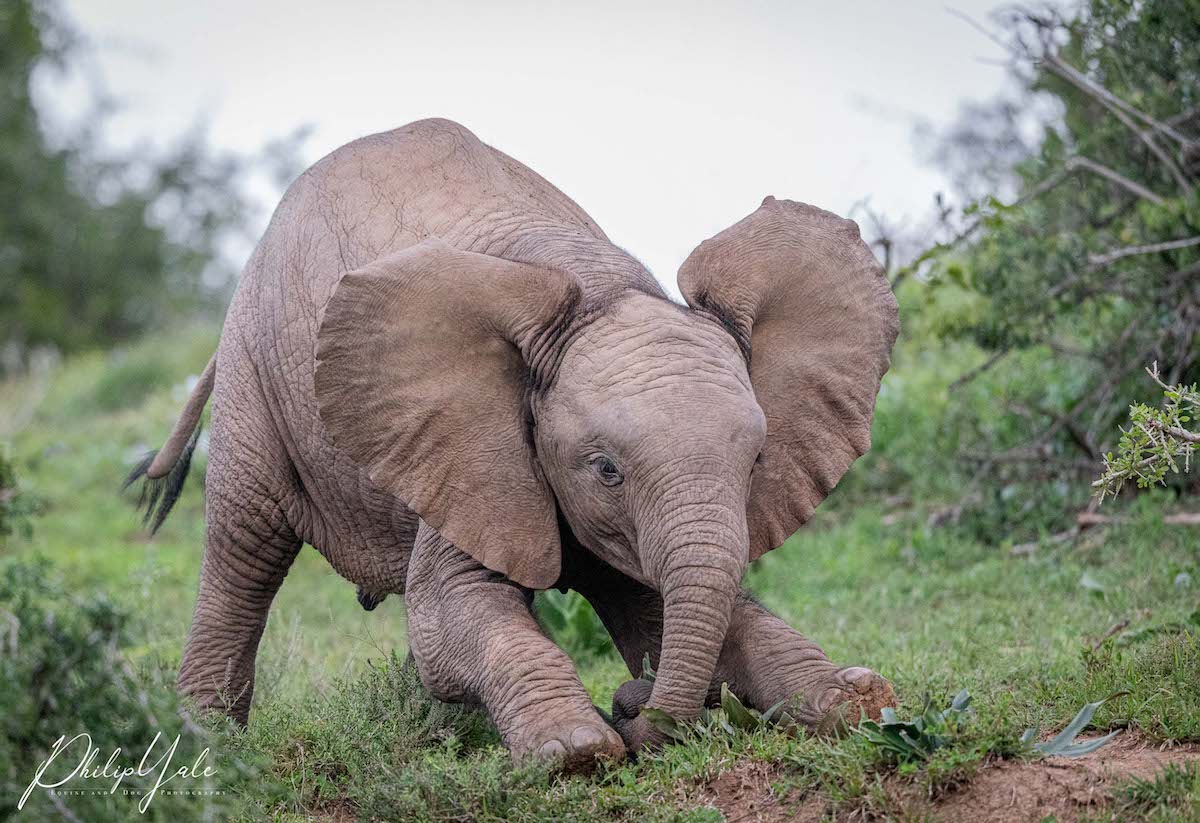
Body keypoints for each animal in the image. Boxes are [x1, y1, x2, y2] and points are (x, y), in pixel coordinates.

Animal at [131, 117, 902, 772]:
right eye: (606, 469)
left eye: (757, 462)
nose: (632, 700)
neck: (599, 291)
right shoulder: (472, 443)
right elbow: (447, 614)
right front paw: (577, 751)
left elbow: (674, 602)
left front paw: (857, 700)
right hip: (252, 376)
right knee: (245, 547)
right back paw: (207, 752)